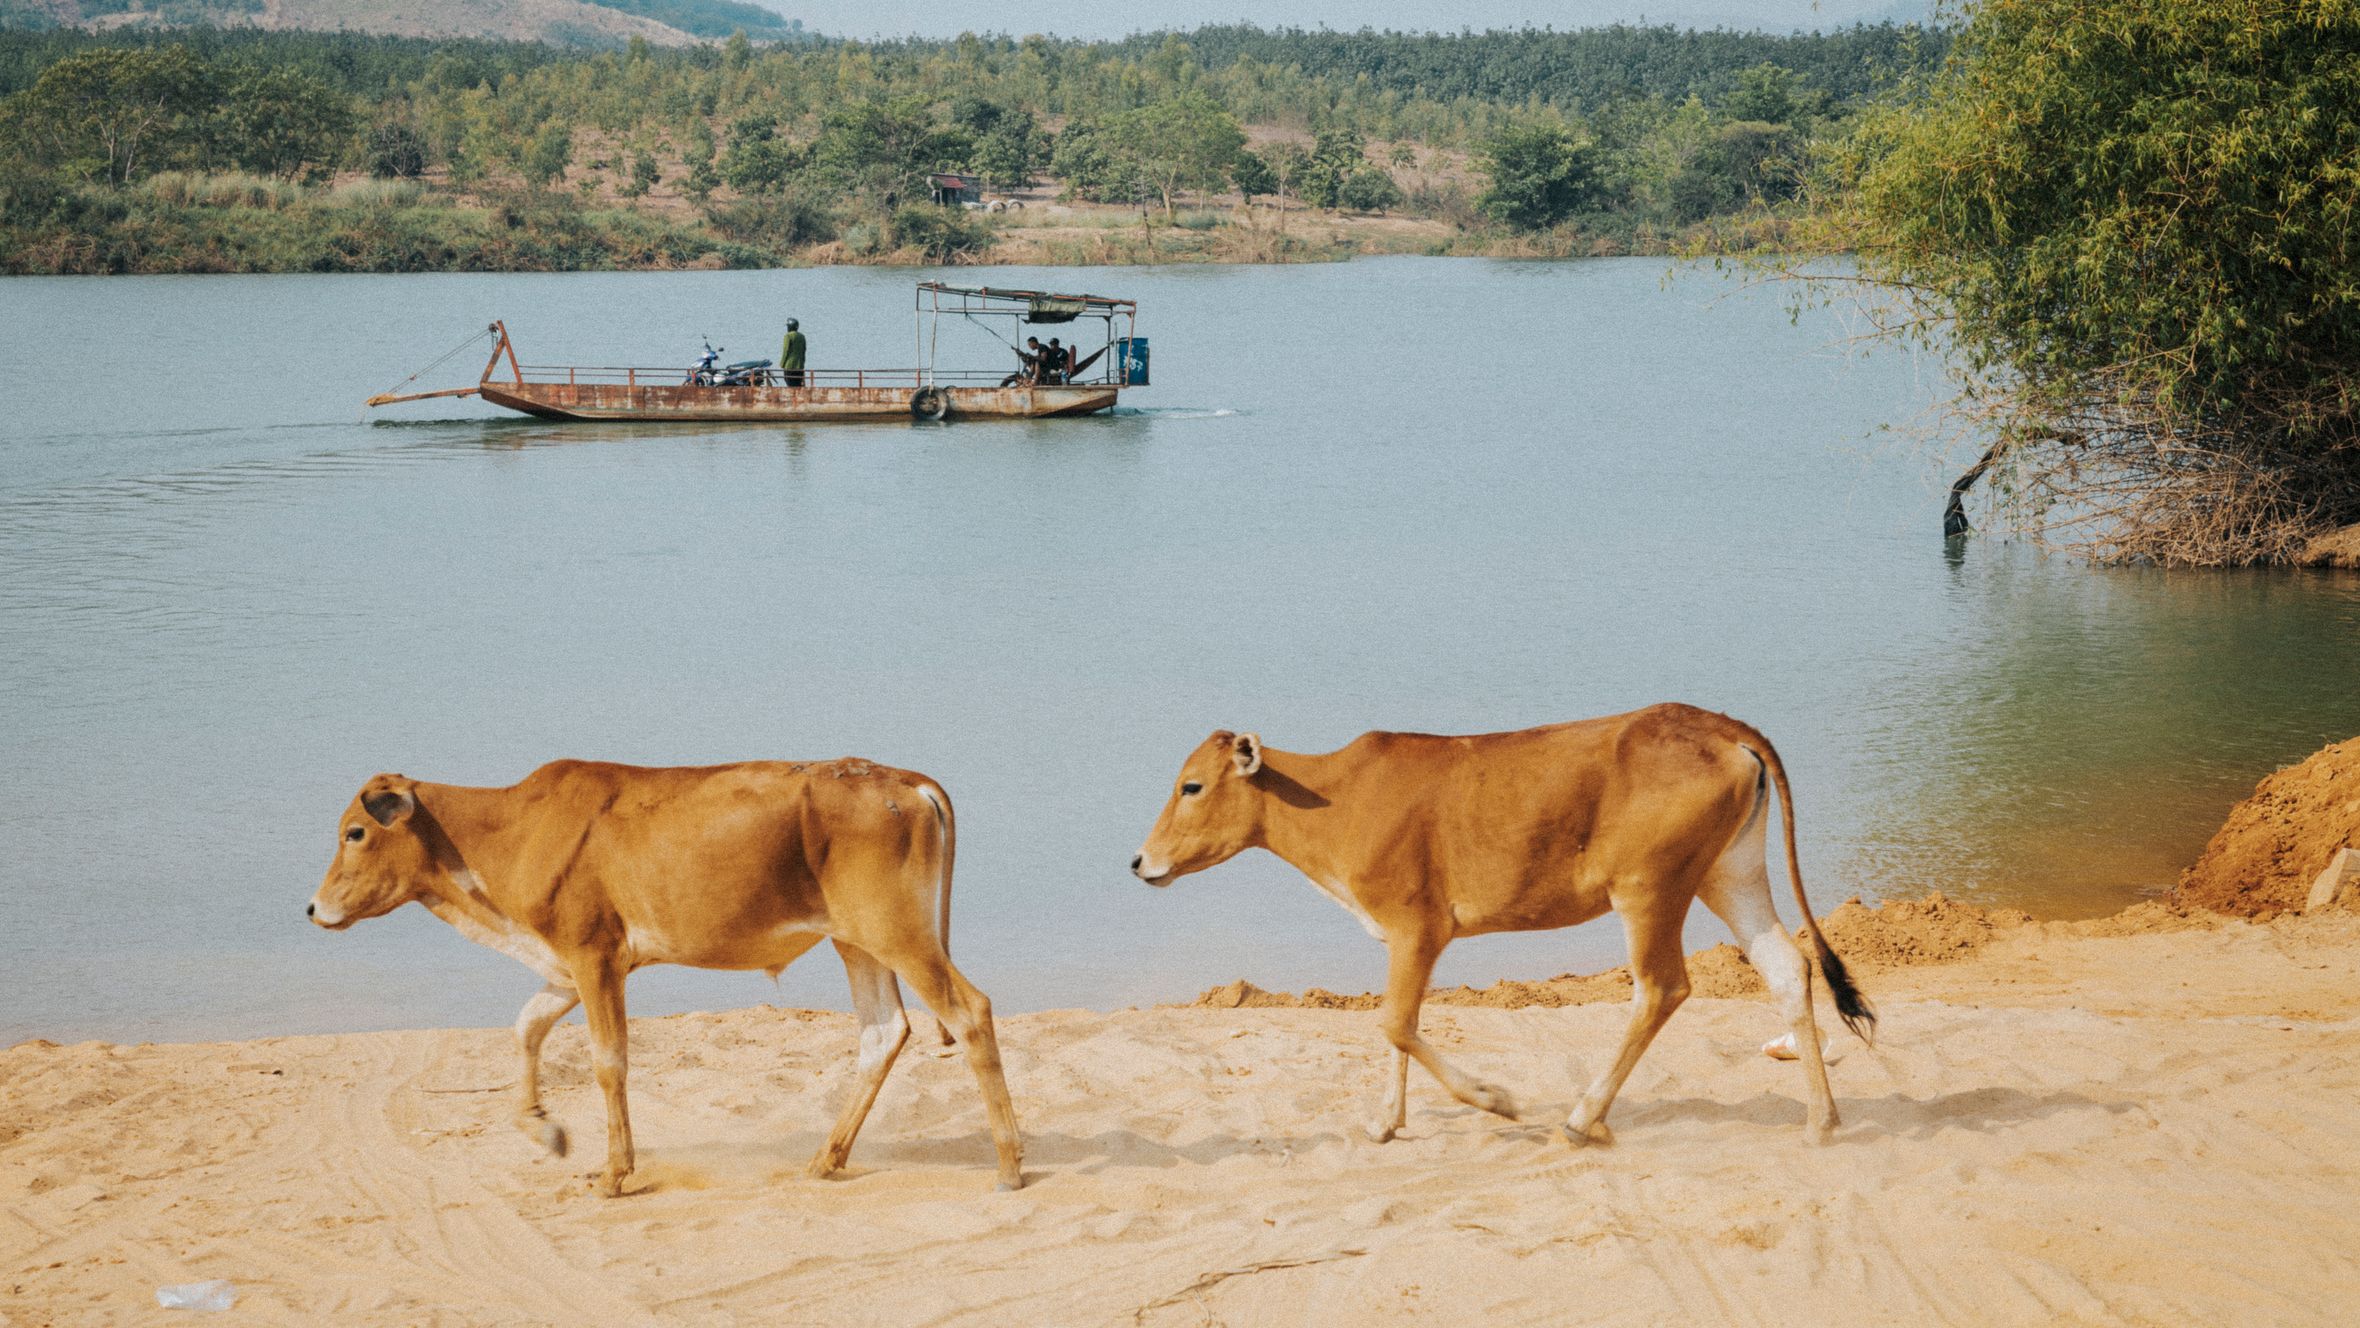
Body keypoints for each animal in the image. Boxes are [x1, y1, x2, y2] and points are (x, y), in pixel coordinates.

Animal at [308, 759, 1024, 1197]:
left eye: (355, 832)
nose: (313, 909)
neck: (507, 833)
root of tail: (903, 780)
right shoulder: (564, 965)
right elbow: (526, 1028)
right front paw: (545, 1128)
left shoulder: (595, 957)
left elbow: (608, 1061)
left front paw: (614, 1174)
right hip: (858, 941)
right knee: (883, 1032)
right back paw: (826, 1158)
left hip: (899, 934)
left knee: (969, 1012)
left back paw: (1011, 1166)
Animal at [1128, 704, 1874, 1148]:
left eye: (1192, 786)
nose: (1140, 862)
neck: (1338, 799)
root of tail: (1721, 726)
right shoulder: (1401, 939)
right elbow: (1396, 1027)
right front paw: (1386, 1122)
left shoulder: (1419, 928)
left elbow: (1394, 1023)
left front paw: (1496, 1099)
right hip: (1728, 873)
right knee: (1787, 967)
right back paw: (1821, 1121)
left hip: (1649, 890)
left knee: (1661, 988)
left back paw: (1581, 1118)